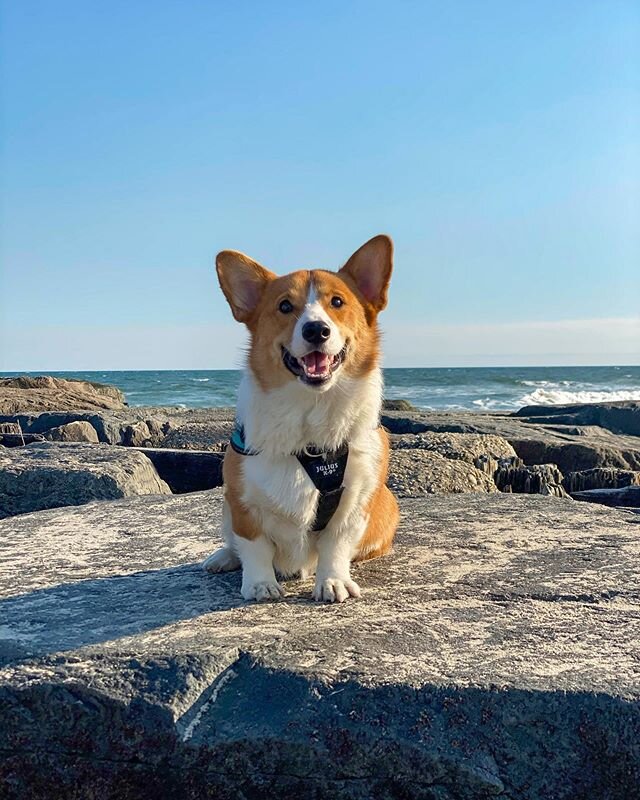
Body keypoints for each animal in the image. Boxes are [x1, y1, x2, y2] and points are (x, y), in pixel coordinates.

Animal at [202, 234, 398, 604]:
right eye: (284, 307)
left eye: (337, 302)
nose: (316, 330)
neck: (310, 410)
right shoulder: (242, 502)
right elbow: (254, 547)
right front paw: (260, 584)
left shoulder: (353, 505)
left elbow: (336, 545)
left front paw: (333, 582)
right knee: (232, 543)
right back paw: (222, 557)